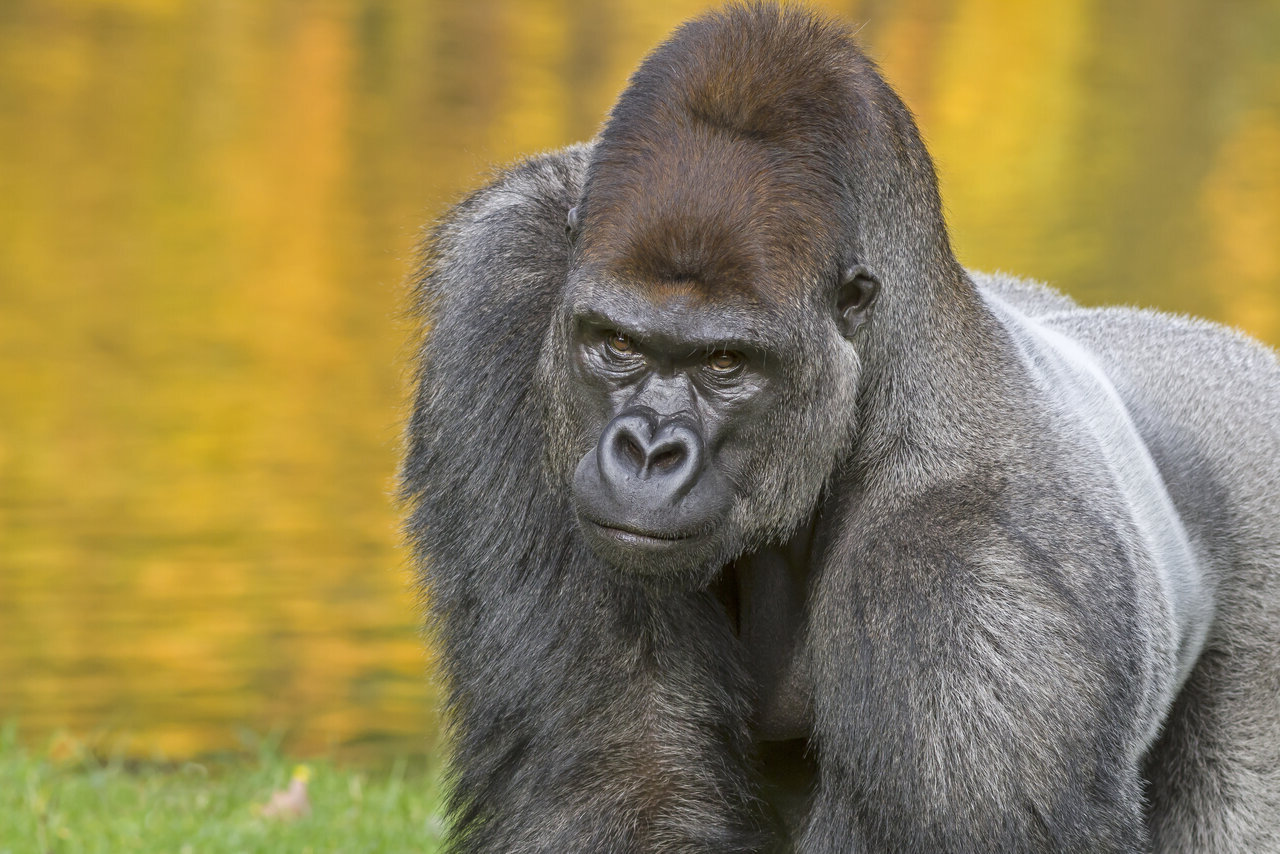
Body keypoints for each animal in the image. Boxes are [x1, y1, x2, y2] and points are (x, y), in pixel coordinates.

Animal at [402, 4, 1280, 852]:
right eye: (617, 344)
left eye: (727, 362)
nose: (647, 452)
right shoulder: (508, 265)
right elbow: (616, 769)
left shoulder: (969, 603)